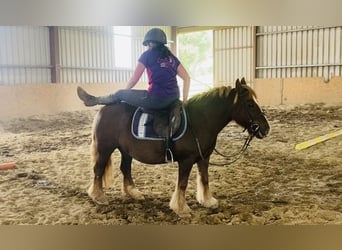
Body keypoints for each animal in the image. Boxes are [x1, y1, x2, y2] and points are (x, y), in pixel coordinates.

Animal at [85, 77, 270, 217]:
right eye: (250, 104)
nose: (265, 128)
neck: (199, 122)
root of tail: (103, 110)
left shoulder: (204, 158)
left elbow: (205, 179)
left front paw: (207, 201)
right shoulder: (186, 161)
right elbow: (182, 184)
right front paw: (181, 208)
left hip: (125, 151)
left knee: (125, 168)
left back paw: (133, 193)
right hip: (105, 148)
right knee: (98, 170)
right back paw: (98, 196)